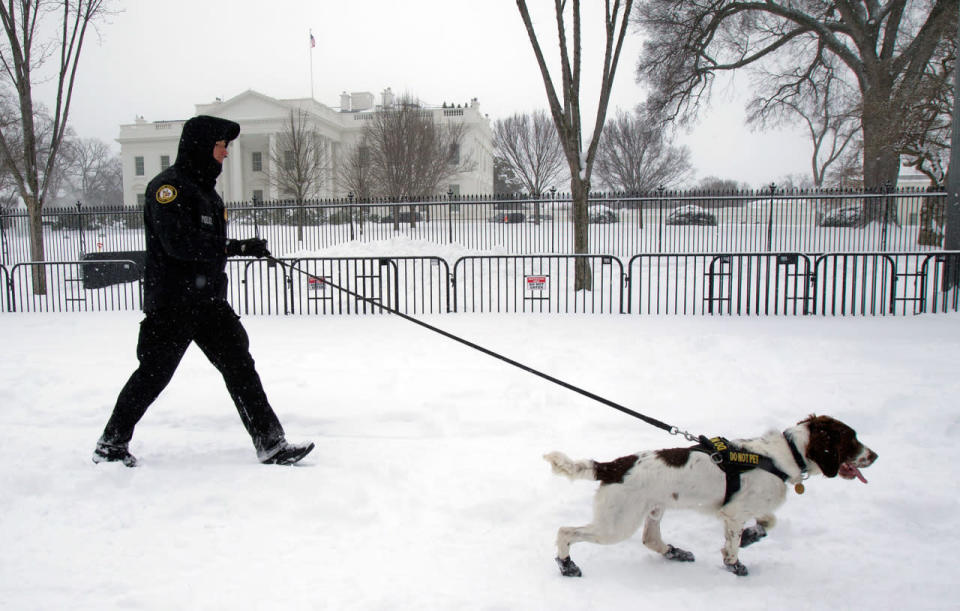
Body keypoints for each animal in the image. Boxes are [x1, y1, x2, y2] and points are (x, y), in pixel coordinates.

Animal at [544, 416, 872, 580]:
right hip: (616, 524)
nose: (875, 455)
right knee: (565, 531)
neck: (784, 454)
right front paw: (735, 564)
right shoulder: (733, 513)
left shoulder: (747, 509)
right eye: (852, 439)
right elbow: (734, 546)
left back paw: (675, 552)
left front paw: (752, 536)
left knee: (651, 539)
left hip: (653, 508)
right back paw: (567, 565)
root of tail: (611, 466)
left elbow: (768, 521)